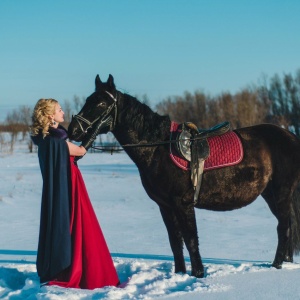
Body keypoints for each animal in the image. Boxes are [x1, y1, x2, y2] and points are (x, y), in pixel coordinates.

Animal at [67, 74, 300, 278]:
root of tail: (291, 137)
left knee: (283, 227)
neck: (158, 148)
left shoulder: (183, 204)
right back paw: (285, 262)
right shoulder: (165, 206)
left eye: (101, 103)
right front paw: (180, 273)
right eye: (88, 100)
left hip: (280, 193)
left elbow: (191, 240)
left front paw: (198, 274)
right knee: (287, 225)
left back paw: (276, 265)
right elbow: (175, 241)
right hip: (270, 195)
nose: (73, 130)